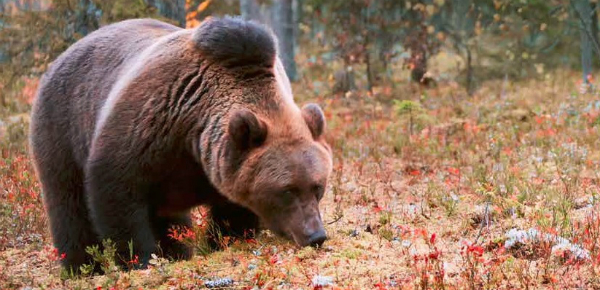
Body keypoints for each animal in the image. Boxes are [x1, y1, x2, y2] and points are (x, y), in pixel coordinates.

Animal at [28, 15, 332, 272]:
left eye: (318, 187)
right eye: (287, 190)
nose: (316, 235)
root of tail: (62, 55)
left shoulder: (213, 164)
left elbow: (232, 211)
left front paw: (224, 240)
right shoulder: (148, 126)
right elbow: (116, 193)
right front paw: (141, 259)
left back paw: (177, 251)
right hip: (63, 125)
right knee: (68, 202)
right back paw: (82, 265)